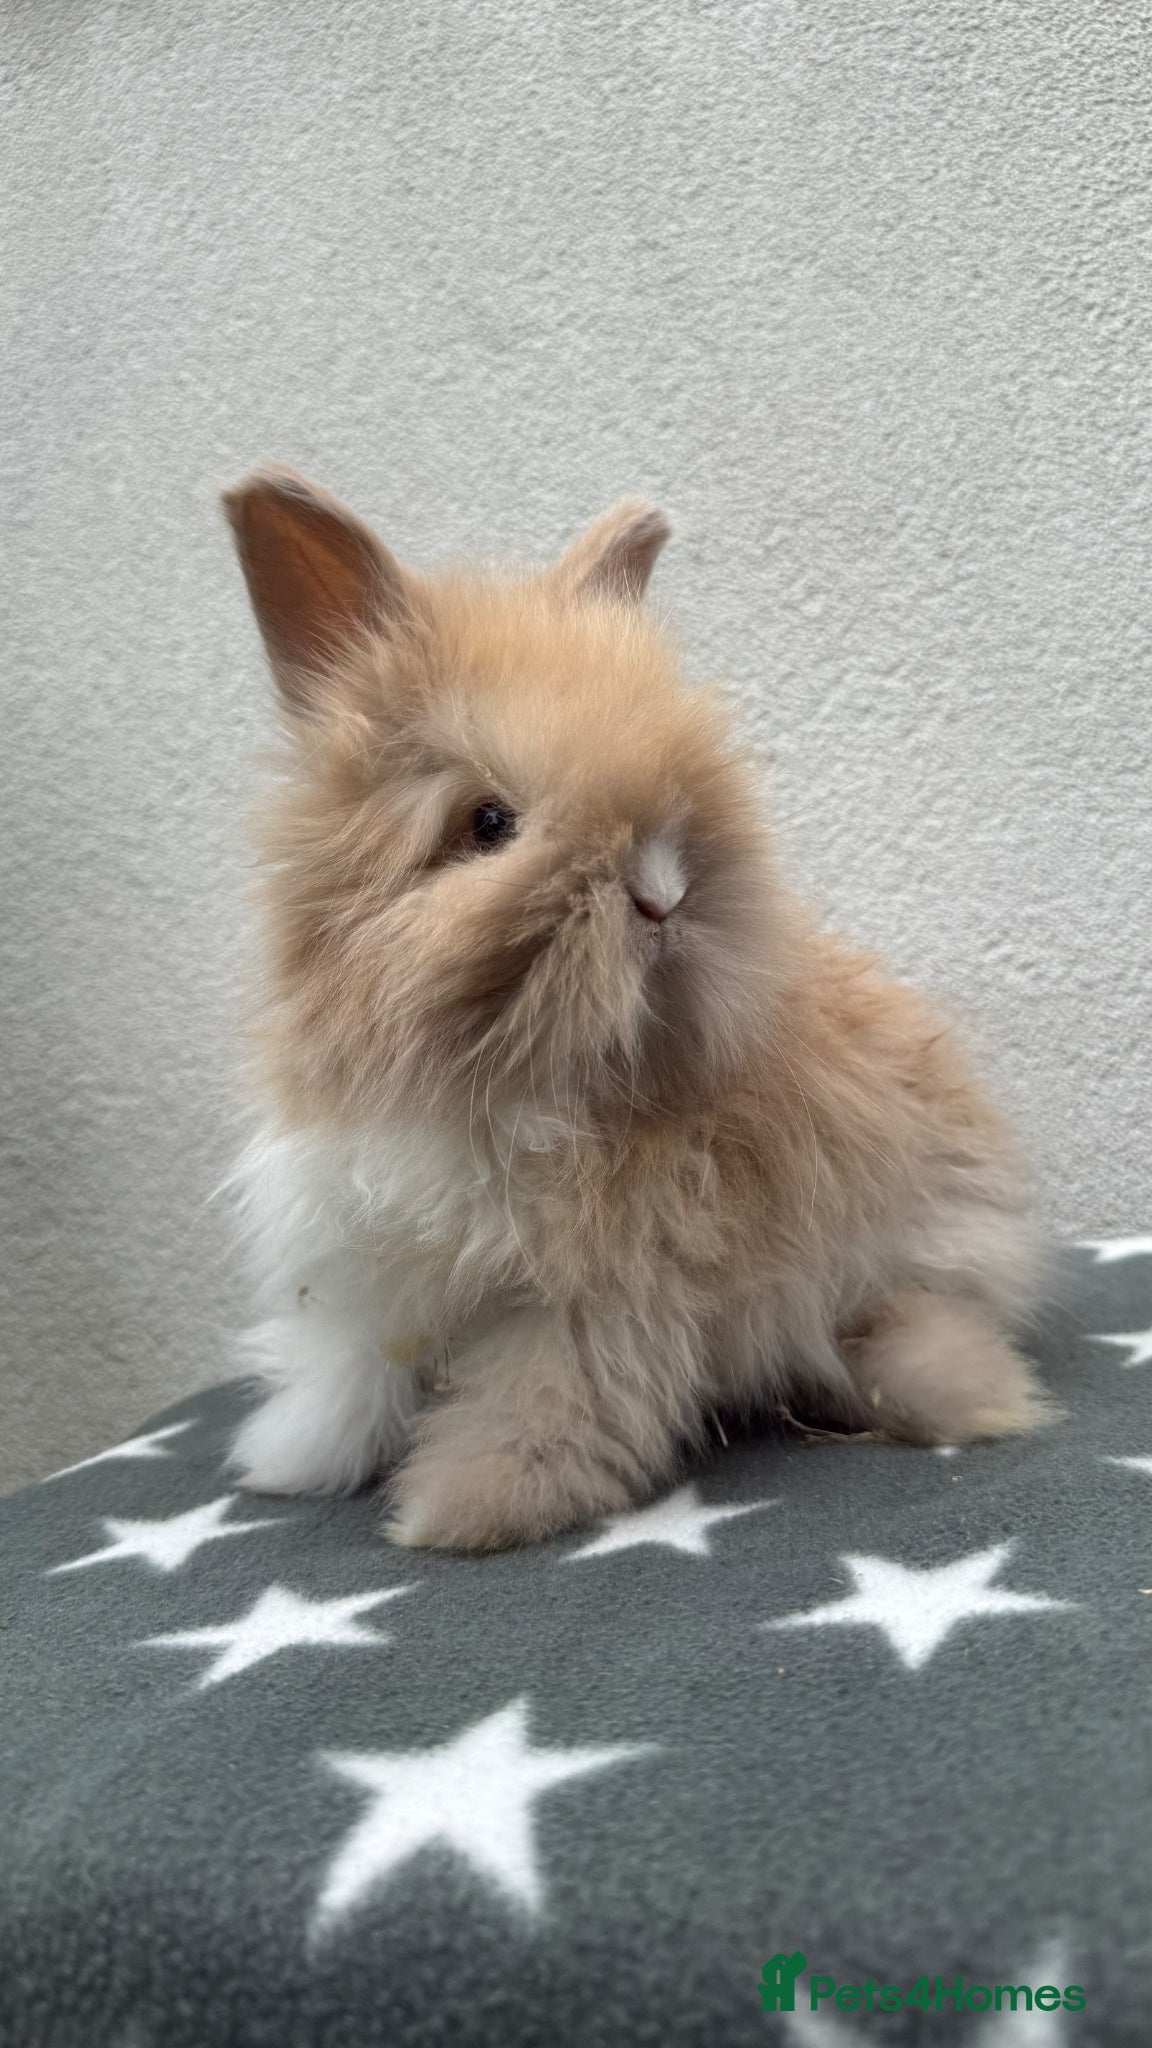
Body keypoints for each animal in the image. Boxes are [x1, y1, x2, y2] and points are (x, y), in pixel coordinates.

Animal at [221, 465, 1055, 1551]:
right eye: (488, 822)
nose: (663, 892)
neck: (508, 1085)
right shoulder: (364, 1269)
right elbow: (348, 1377)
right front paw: (289, 1464)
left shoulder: (599, 1299)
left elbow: (543, 1403)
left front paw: (461, 1511)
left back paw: (965, 1391)